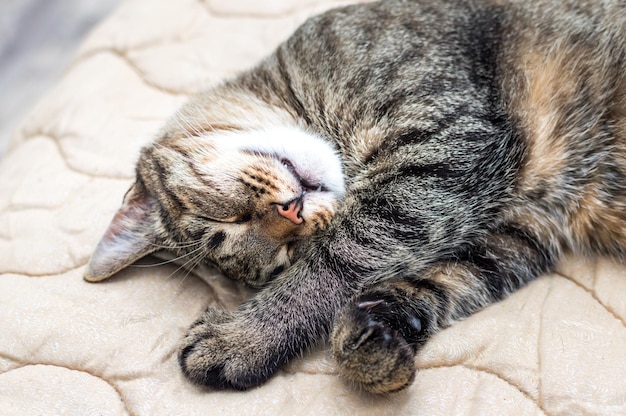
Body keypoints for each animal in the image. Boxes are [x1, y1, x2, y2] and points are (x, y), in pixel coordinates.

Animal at [84, 0, 624, 394]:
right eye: (283, 251)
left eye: (225, 220)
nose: (291, 213)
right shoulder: (517, 231)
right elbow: (431, 283)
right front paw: (374, 343)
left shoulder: (443, 147)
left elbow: (331, 266)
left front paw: (244, 339)